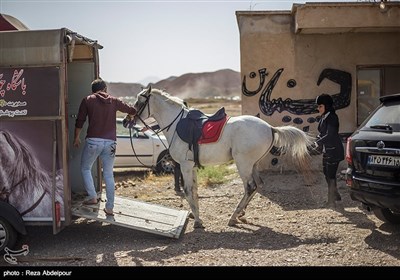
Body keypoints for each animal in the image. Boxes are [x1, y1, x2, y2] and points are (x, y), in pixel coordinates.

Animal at [133, 87, 314, 228]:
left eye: (139, 102)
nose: (130, 120)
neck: (176, 124)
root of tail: (270, 127)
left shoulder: (185, 165)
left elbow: (188, 190)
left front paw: (197, 221)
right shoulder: (191, 166)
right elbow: (195, 190)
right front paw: (195, 215)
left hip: (243, 164)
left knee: (250, 187)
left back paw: (233, 217)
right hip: (253, 164)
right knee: (258, 185)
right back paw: (241, 214)